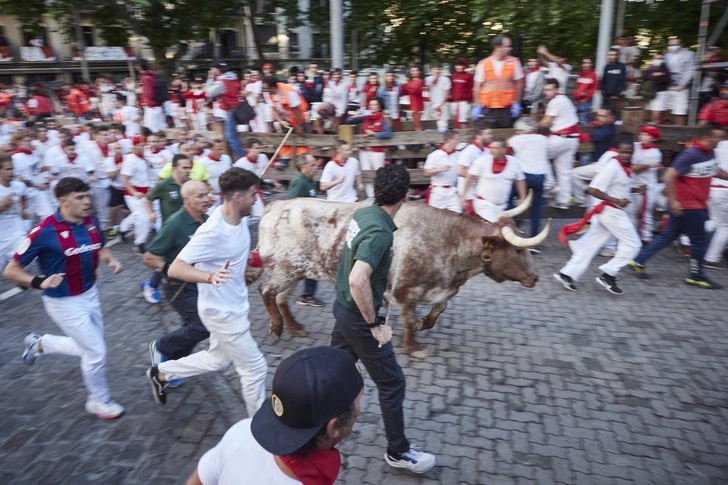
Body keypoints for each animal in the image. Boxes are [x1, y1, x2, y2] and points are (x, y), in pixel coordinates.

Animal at [258, 194, 548, 360]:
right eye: (517, 249)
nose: (535, 277)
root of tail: (278, 204)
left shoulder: (440, 289)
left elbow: (438, 309)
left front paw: (423, 323)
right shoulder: (405, 292)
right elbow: (408, 320)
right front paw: (413, 346)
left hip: (295, 270)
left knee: (281, 298)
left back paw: (295, 327)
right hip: (284, 269)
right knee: (266, 292)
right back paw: (276, 329)